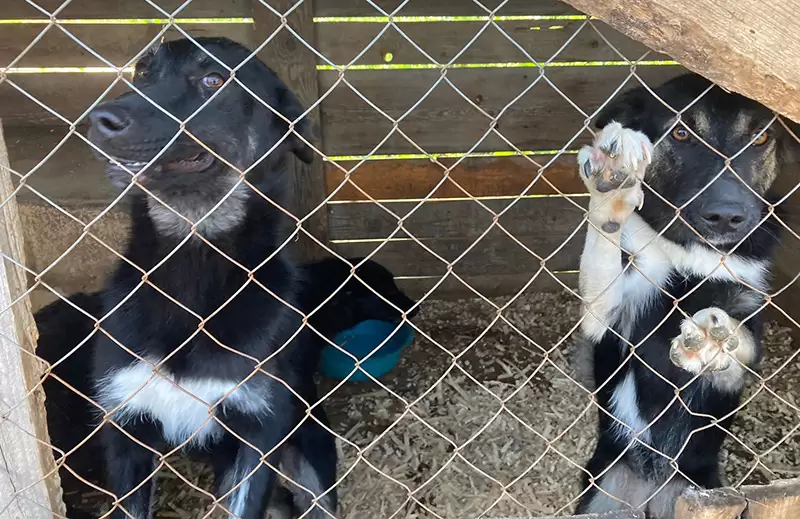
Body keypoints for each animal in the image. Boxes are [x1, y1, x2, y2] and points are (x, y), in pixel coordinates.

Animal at [87, 37, 334, 519]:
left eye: (214, 80)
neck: (194, 260)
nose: (100, 119)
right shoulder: (125, 426)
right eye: (142, 71)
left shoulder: (260, 432)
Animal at [576, 74, 792, 519]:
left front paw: (712, 339)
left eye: (761, 137)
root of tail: (651, 490)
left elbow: (739, 346)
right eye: (681, 133)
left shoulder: (743, 331)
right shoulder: (606, 316)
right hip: (600, 491)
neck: (690, 250)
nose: (727, 216)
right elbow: (603, 252)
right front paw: (611, 188)